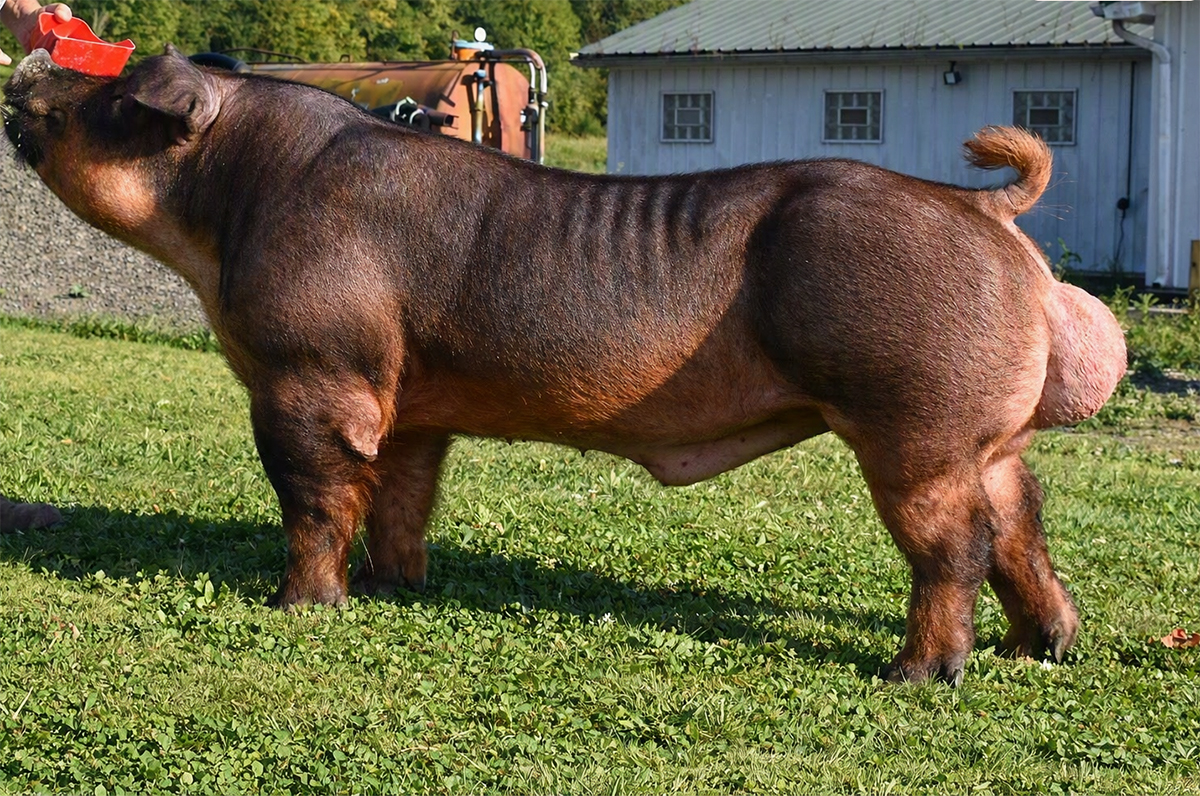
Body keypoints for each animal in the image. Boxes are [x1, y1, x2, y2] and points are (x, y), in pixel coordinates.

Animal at [2, 46, 1127, 684]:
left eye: (113, 96)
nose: (27, 72)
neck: (233, 204)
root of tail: (984, 212)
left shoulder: (311, 374)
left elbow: (315, 496)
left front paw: (300, 608)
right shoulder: (410, 401)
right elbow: (402, 494)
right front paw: (397, 590)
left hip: (916, 425)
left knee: (956, 548)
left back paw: (915, 675)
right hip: (986, 438)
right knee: (1023, 523)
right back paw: (1043, 649)